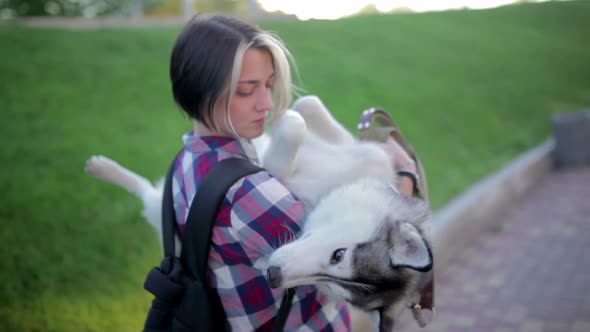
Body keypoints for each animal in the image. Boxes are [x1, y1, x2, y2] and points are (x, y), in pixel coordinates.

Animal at [84, 95, 434, 330]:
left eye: (330, 285)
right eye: (339, 254)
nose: (274, 275)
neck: (342, 179)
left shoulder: (270, 172)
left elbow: (293, 128)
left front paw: (278, 121)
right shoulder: (360, 151)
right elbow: (307, 108)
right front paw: (280, 112)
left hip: (158, 212)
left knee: (149, 196)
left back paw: (107, 171)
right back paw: (104, 167)